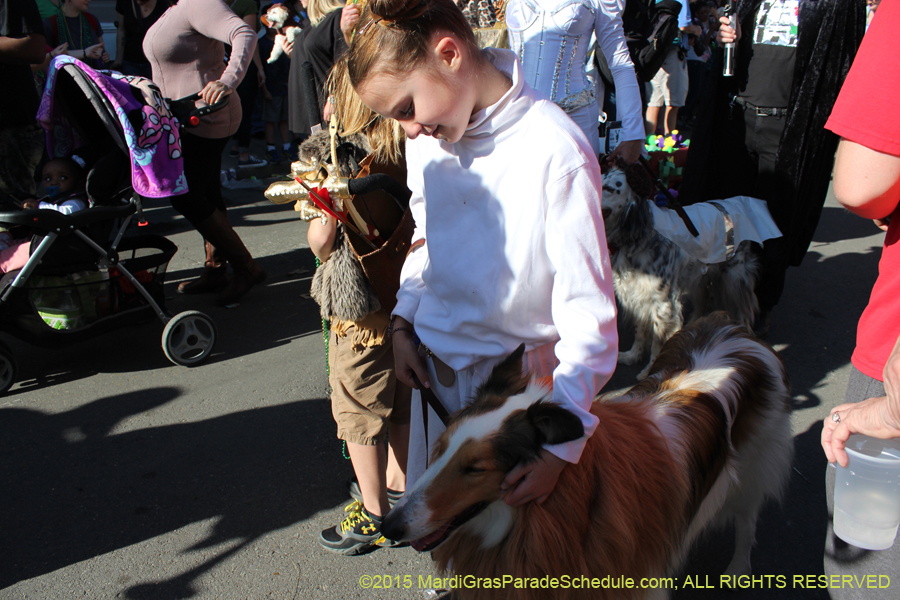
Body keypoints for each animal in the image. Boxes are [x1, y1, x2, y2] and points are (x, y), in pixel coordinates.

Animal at [384, 314, 792, 600]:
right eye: (440, 448)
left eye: (474, 468)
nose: (388, 527)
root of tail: (732, 328)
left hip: (754, 469)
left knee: (748, 520)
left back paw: (737, 570)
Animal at [600, 166, 764, 378]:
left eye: (608, 188)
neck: (640, 238)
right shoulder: (638, 296)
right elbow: (640, 331)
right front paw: (632, 355)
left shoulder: (664, 304)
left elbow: (658, 342)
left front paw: (651, 371)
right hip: (702, 278)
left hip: (734, 280)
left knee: (744, 313)